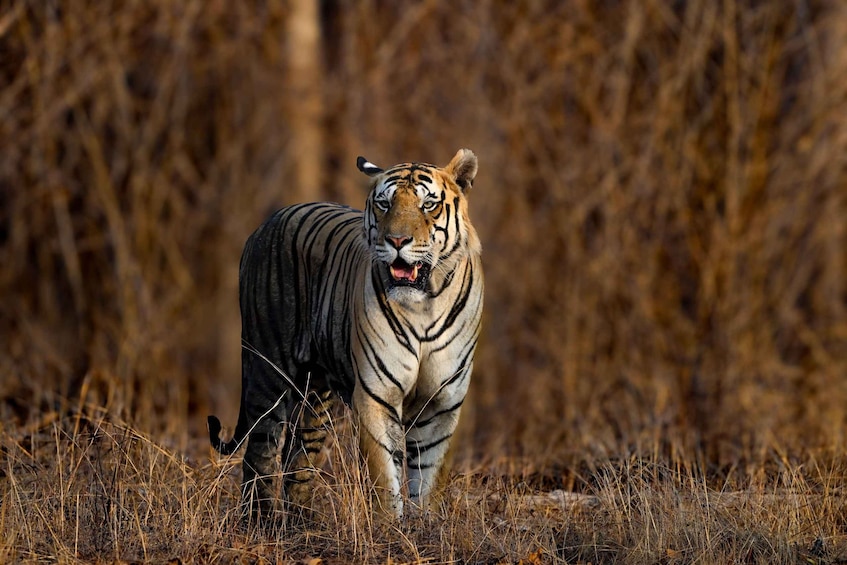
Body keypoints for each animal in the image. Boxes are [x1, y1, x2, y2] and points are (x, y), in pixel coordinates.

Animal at [207, 149, 483, 520]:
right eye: (384, 204)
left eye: (428, 205)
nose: (397, 241)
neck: (425, 303)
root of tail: (268, 221)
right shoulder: (376, 396)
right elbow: (385, 479)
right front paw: (389, 529)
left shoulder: (441, 403)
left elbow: (427, 481)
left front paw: (426, 526)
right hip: (268, 370)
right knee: (260, 451)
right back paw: (259, 522)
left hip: (314, 395)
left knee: (298, 456)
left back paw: (301, 524)